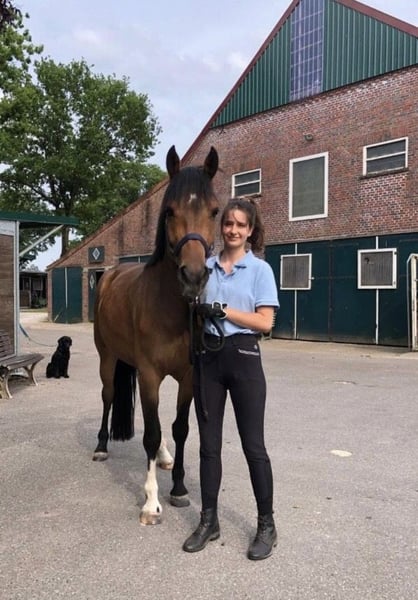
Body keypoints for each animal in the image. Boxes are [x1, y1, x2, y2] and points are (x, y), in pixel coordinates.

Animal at [93, 145, 219, 525]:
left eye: (214, 211)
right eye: (170, 211)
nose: (193, 276)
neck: (171, 309)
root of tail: (109, 275)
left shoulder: (189, 376)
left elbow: (179, 428)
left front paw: (178, 489)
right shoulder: (149, 373)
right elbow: (150, 433)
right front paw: (151, 502)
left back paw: (164, 458)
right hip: (107, 358)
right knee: (107, 396)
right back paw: (101, 447)